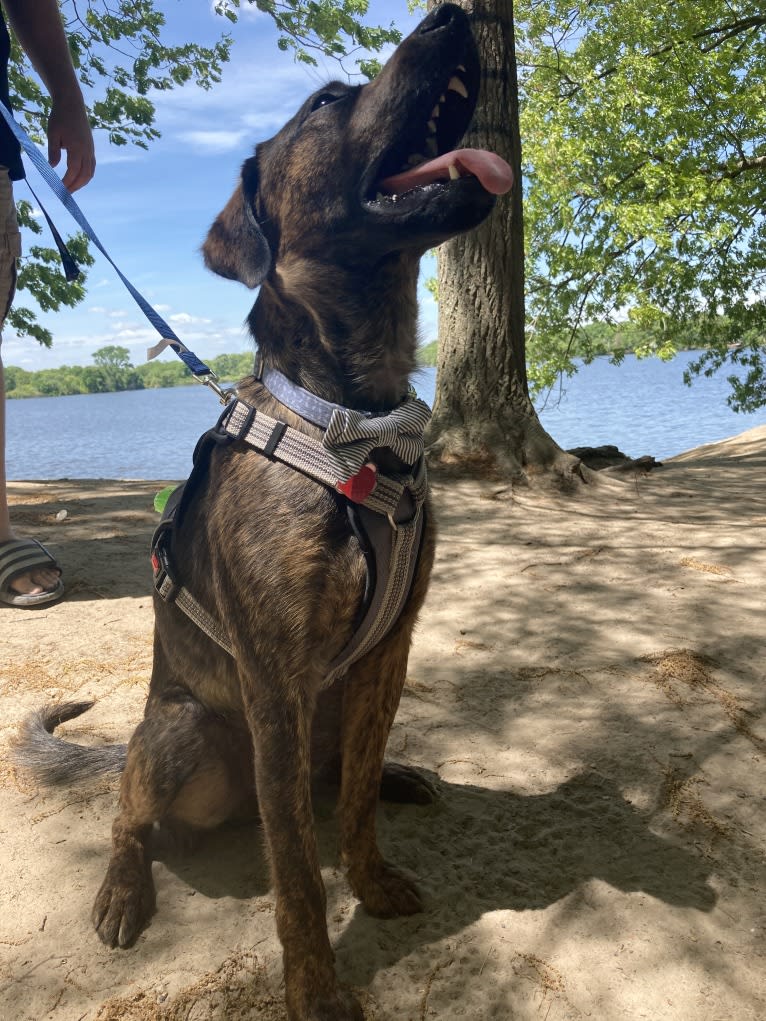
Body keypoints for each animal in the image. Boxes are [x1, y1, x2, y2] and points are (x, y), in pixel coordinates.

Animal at [12, 3, 510, 1016]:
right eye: (324, 102)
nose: (452, 15)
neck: (354, 420)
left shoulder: (389, 652)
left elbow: (349, 811)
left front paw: (372, 876)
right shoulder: (276, 680)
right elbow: (296, 873)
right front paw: (315, 988)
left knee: (342, 778)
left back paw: (401, 774)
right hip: (183, 732)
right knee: (133, 817)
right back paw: (121, 890)